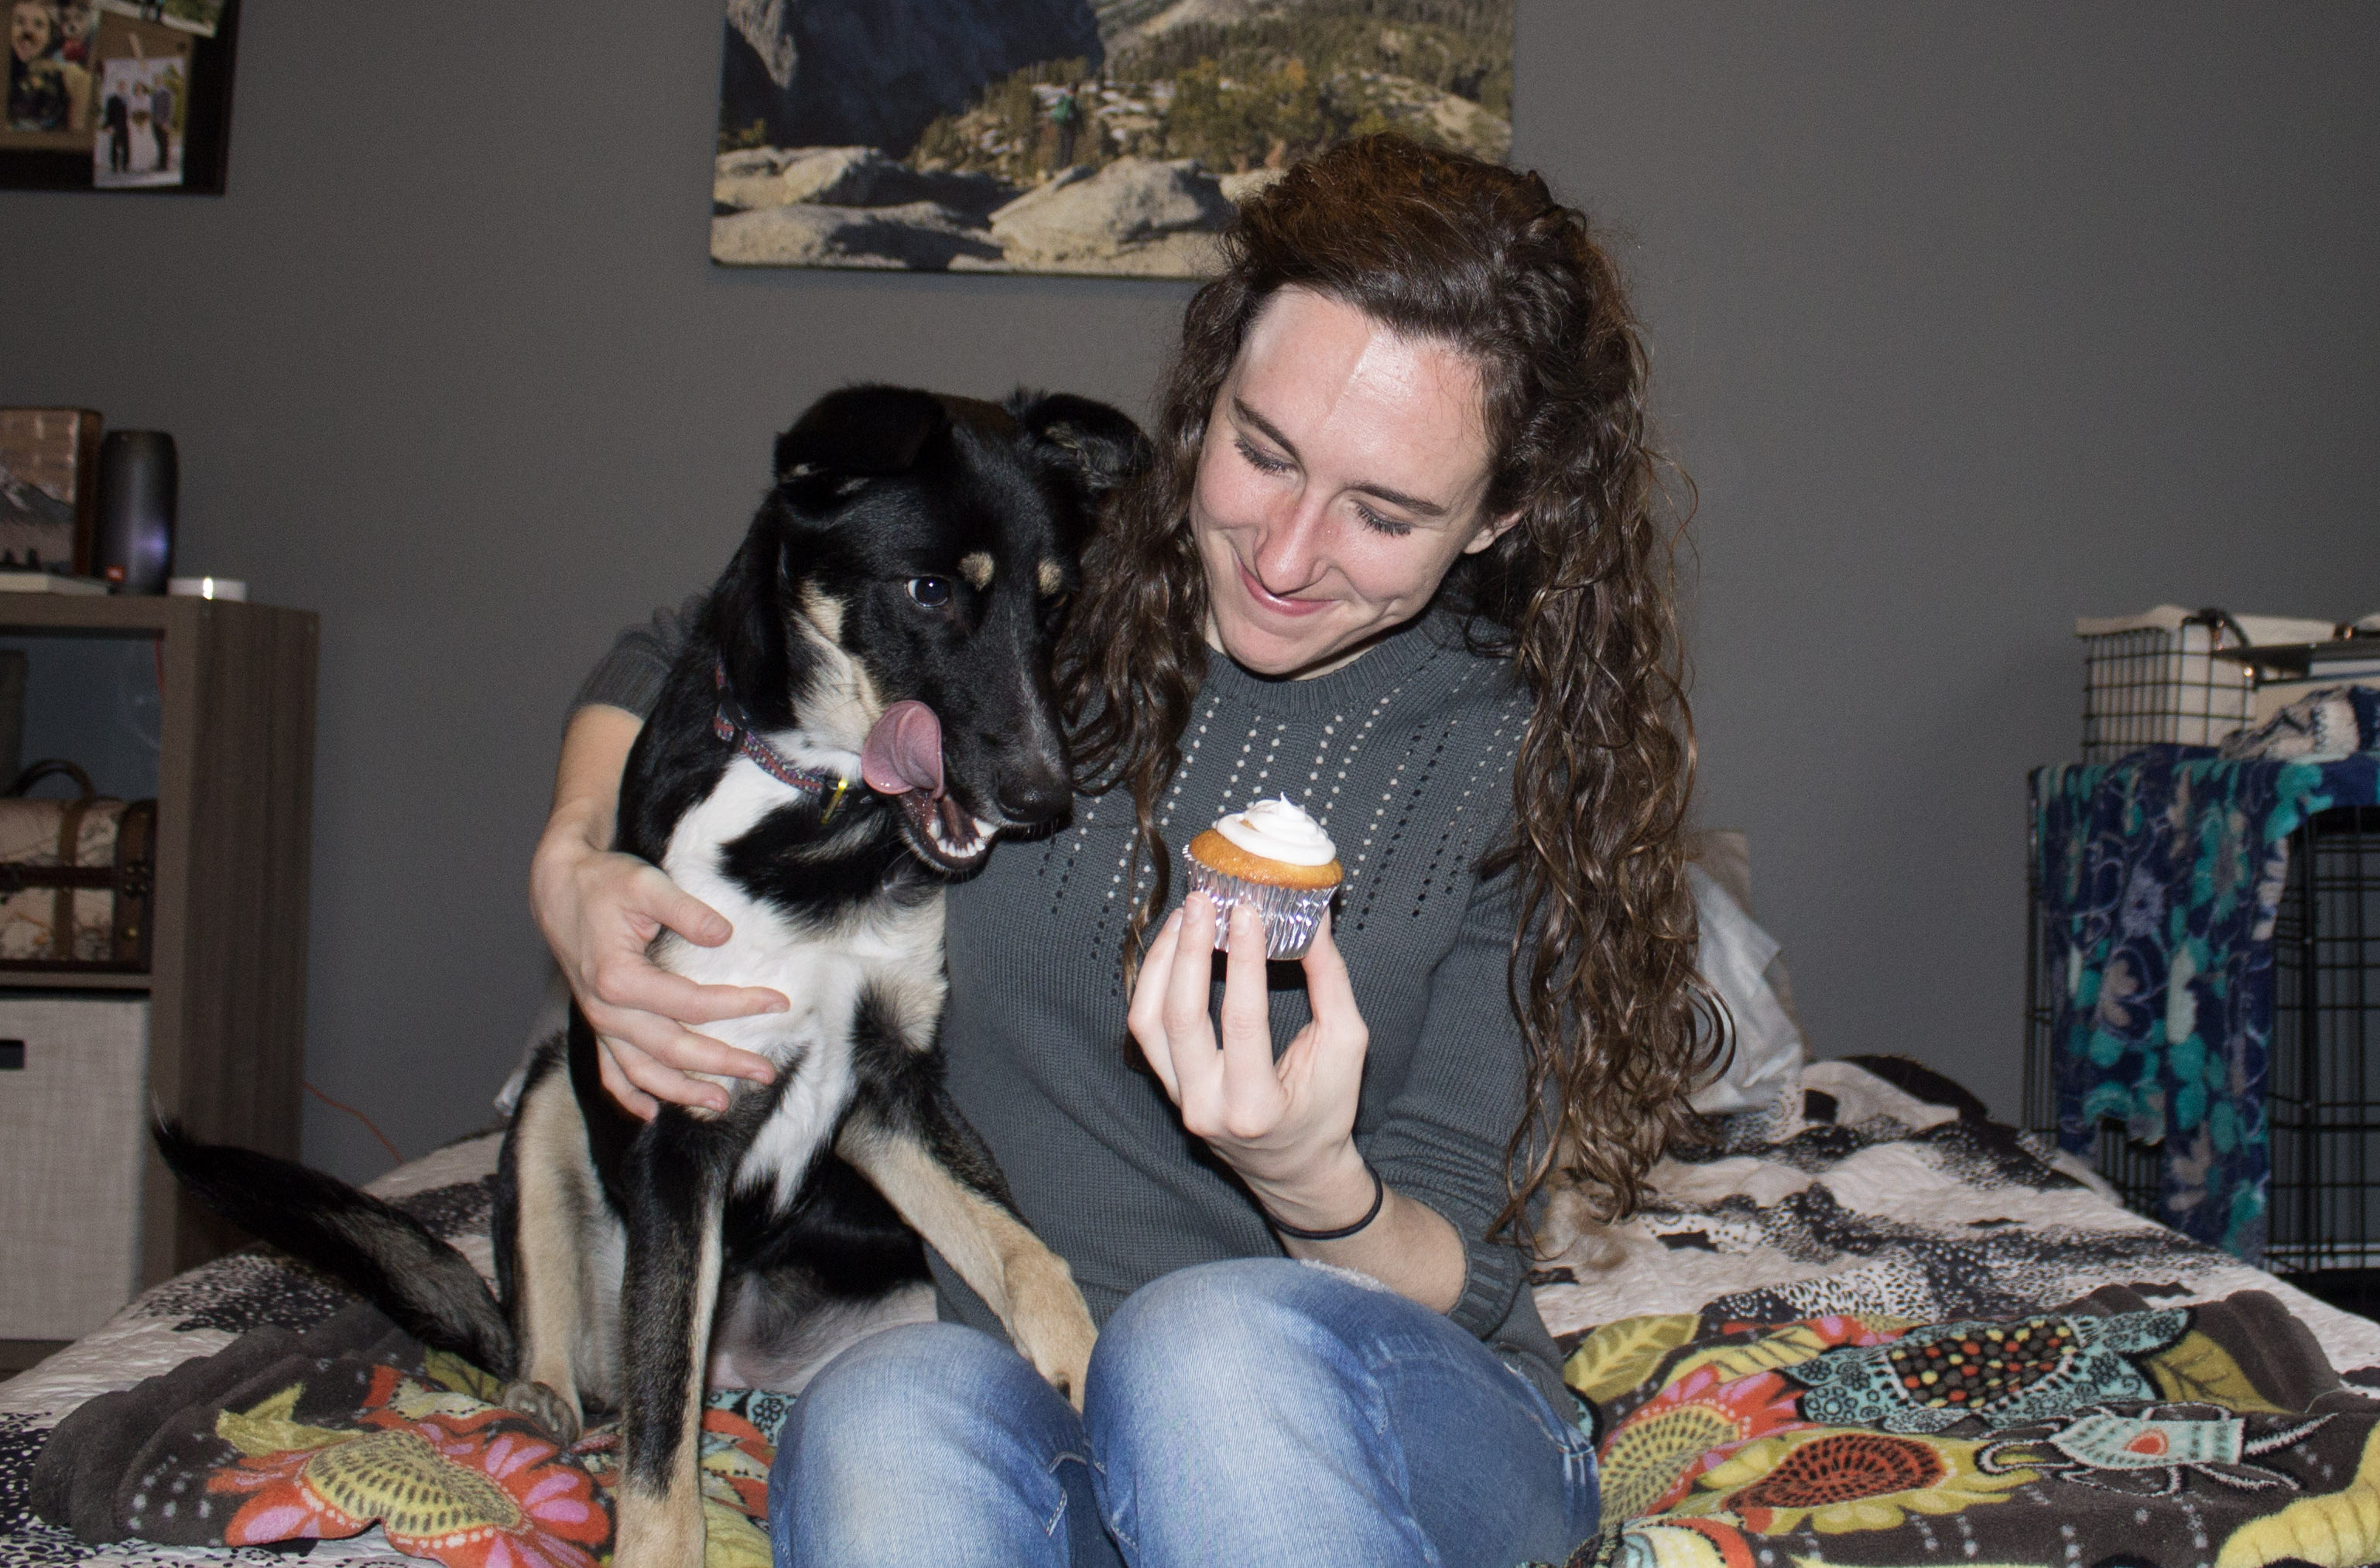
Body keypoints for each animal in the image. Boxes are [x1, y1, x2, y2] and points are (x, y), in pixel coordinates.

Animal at [158, 382, 1142, 1568]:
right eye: (929, 590)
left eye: (1054, 606)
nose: (1045, 801)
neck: (811, 809)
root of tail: (749, 1365)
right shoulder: (684, 1123)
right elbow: (661, 1420)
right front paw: (654, 1541)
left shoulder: (887, 1089)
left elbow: (1022, 1247)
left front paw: (1089, 1368)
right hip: (552, 1106)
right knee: (584, 1364)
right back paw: (535, 1405)